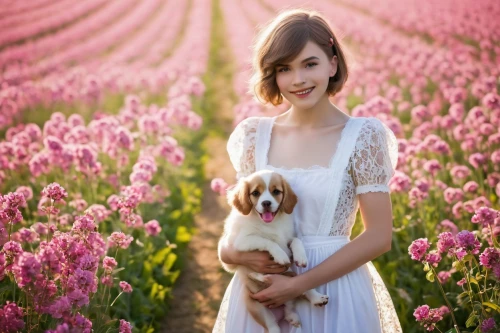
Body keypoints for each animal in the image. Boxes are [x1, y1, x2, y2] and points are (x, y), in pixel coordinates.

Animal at [218, 170, 328, 330]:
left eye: (276, 191)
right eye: (255, 193)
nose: (266, 203)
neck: (270, 223)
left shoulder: (288, 237)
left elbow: (296, 240)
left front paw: (301, 257)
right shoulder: (242, 241)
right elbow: (267, 241)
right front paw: (280, 255)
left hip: (292, 280)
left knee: (298, 297)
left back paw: (315, 299)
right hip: (259, 309)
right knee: (273, 327)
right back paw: (259, 276)